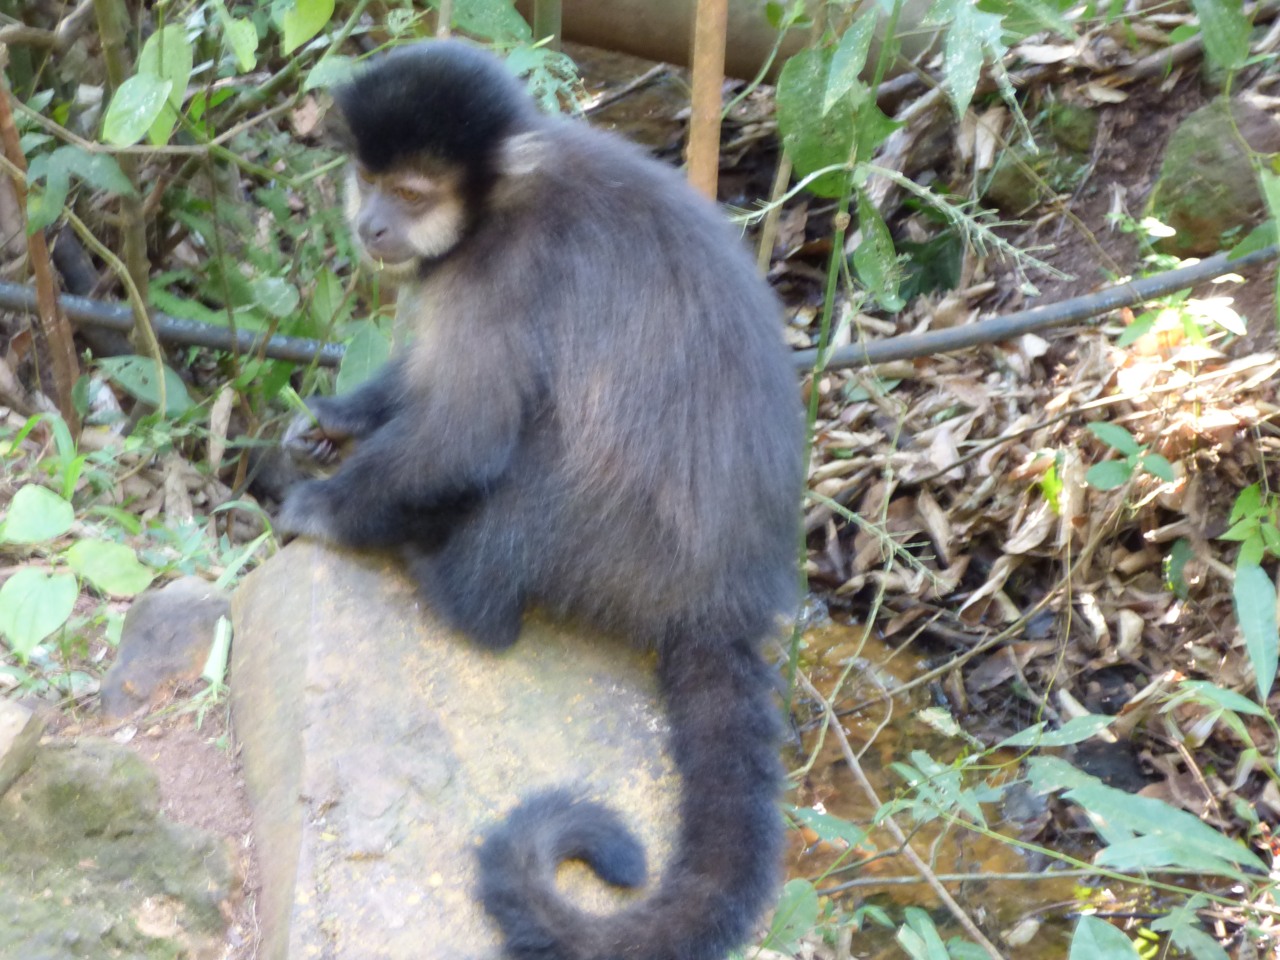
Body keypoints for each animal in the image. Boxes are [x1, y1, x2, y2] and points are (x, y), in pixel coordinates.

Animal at [276, 40, 804, 960]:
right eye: (366, 180)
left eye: (411, 194)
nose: (371, 225)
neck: (500, 204)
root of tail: (727, 595)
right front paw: (337, 420)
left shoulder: (503, 269)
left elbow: (465, 432)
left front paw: (326, 507)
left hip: (626, 556)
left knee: (547, 453)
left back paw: (459, 595)